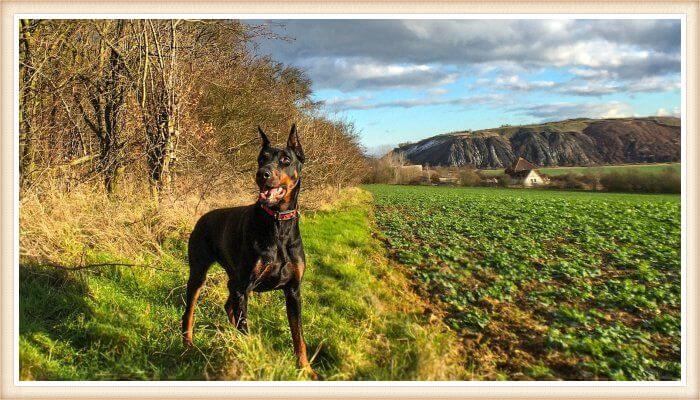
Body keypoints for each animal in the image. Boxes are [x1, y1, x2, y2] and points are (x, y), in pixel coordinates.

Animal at [182, 123, 316, 376]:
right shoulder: (244, 288)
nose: (262, 174)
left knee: (228, 305)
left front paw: (306, 370)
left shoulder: (293, 290)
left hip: (234, 279)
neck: (278, 224)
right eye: (261, 158)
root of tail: (203, 217)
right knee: (190, 312)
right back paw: (187, 346)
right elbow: (245, 327)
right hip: (200, 273)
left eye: (286, 159)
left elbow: (299, 336)